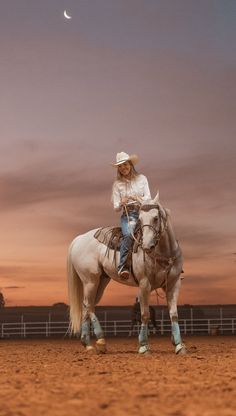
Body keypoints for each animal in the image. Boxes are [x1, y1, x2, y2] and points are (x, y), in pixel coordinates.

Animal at [67, 194, 186, 354]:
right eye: (140, 219)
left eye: (156, 218)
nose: (146, 246)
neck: (163, 252)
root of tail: (79, 239)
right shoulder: (144, 284)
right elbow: (145, 314)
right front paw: (143, 346)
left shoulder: (173, 284)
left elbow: (173, 314)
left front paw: (179, 344)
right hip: (90, 280)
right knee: (88, 305)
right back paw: (100, 341)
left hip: (101, 281)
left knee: (88, 306)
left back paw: (88, 344)